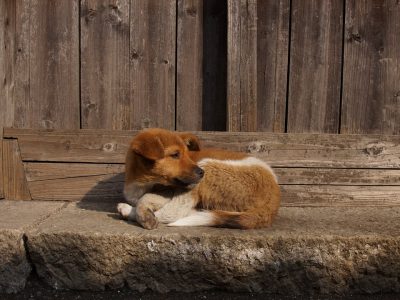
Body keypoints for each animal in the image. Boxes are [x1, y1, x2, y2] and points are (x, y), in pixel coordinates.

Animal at [117, 128, 280, 230]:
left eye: (187, 154)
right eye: (175, 155)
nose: (201, 172)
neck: (142, 182)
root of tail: (274, 199)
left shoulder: (168, 191)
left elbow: (145, 199)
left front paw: (142, 214)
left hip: (206, 168)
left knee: (174, 212)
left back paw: (127, 210)